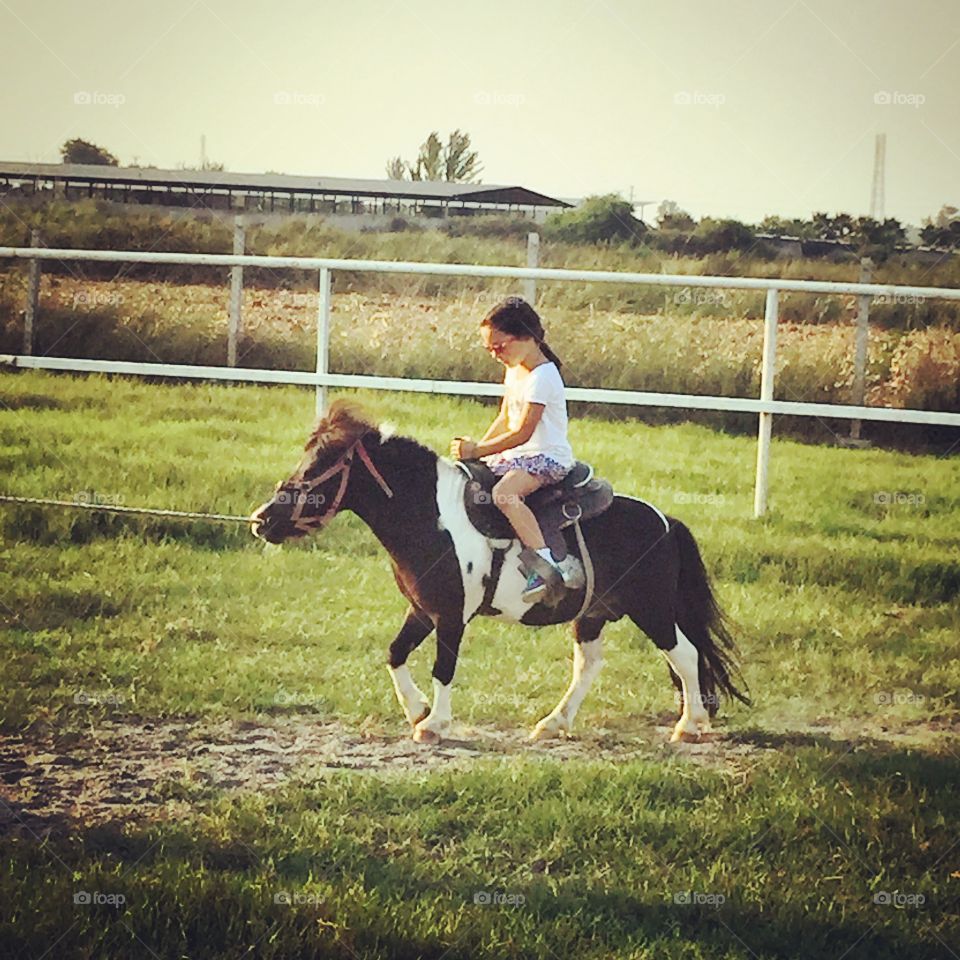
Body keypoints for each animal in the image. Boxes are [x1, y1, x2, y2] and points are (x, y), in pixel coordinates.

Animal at [250, 399, 749, 745]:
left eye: (319, 468)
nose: (261, 519)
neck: (434, 518)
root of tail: (665, 522)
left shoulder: (451, 616)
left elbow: (444, 667)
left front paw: (434, 724)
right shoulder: (423, 610)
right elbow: (395, 654)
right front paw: (417, 711)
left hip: (654, 609)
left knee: (685, 654)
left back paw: (689, 725)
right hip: (592, 615)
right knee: (589, 665)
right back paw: (553, 723)